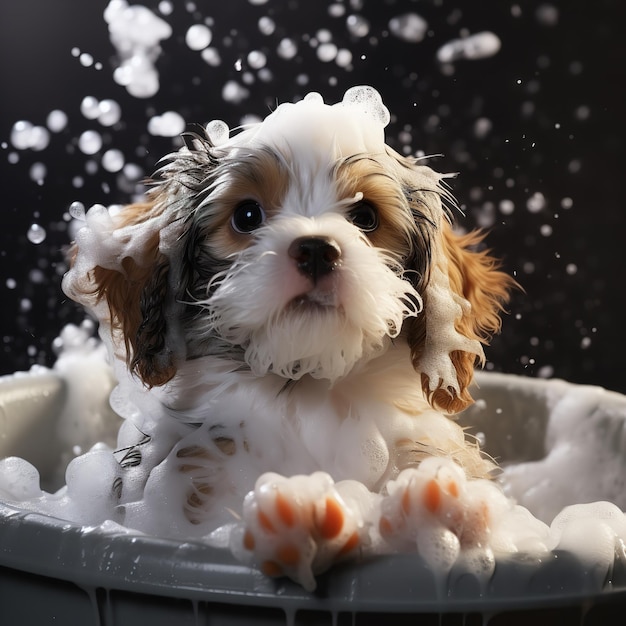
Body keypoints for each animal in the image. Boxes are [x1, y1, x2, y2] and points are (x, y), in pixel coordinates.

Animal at [62, 86, 512, 584]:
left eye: (365, 216)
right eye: (247, 215)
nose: (316, 248)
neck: (305, 393)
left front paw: (437, 510)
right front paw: (299, 520)